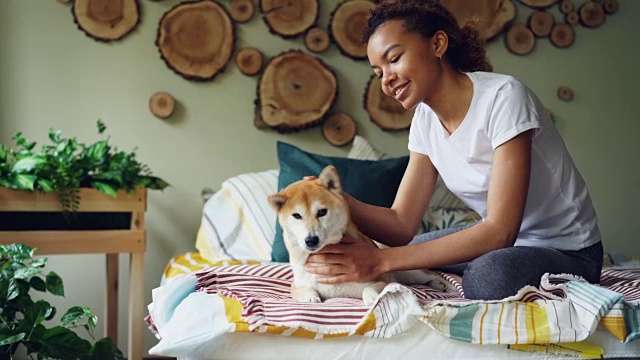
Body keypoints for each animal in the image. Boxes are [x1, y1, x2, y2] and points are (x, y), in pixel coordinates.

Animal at [268, 165, 452, 304]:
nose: (311, 240)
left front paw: (372, 298)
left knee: (436, 275)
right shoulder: (297, 284)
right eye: (297, 215)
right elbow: (301, 289)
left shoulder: (379, 280)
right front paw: (310, 297)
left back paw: (446, 285)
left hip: (411, 270)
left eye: (322, 212)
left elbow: (370, 288)